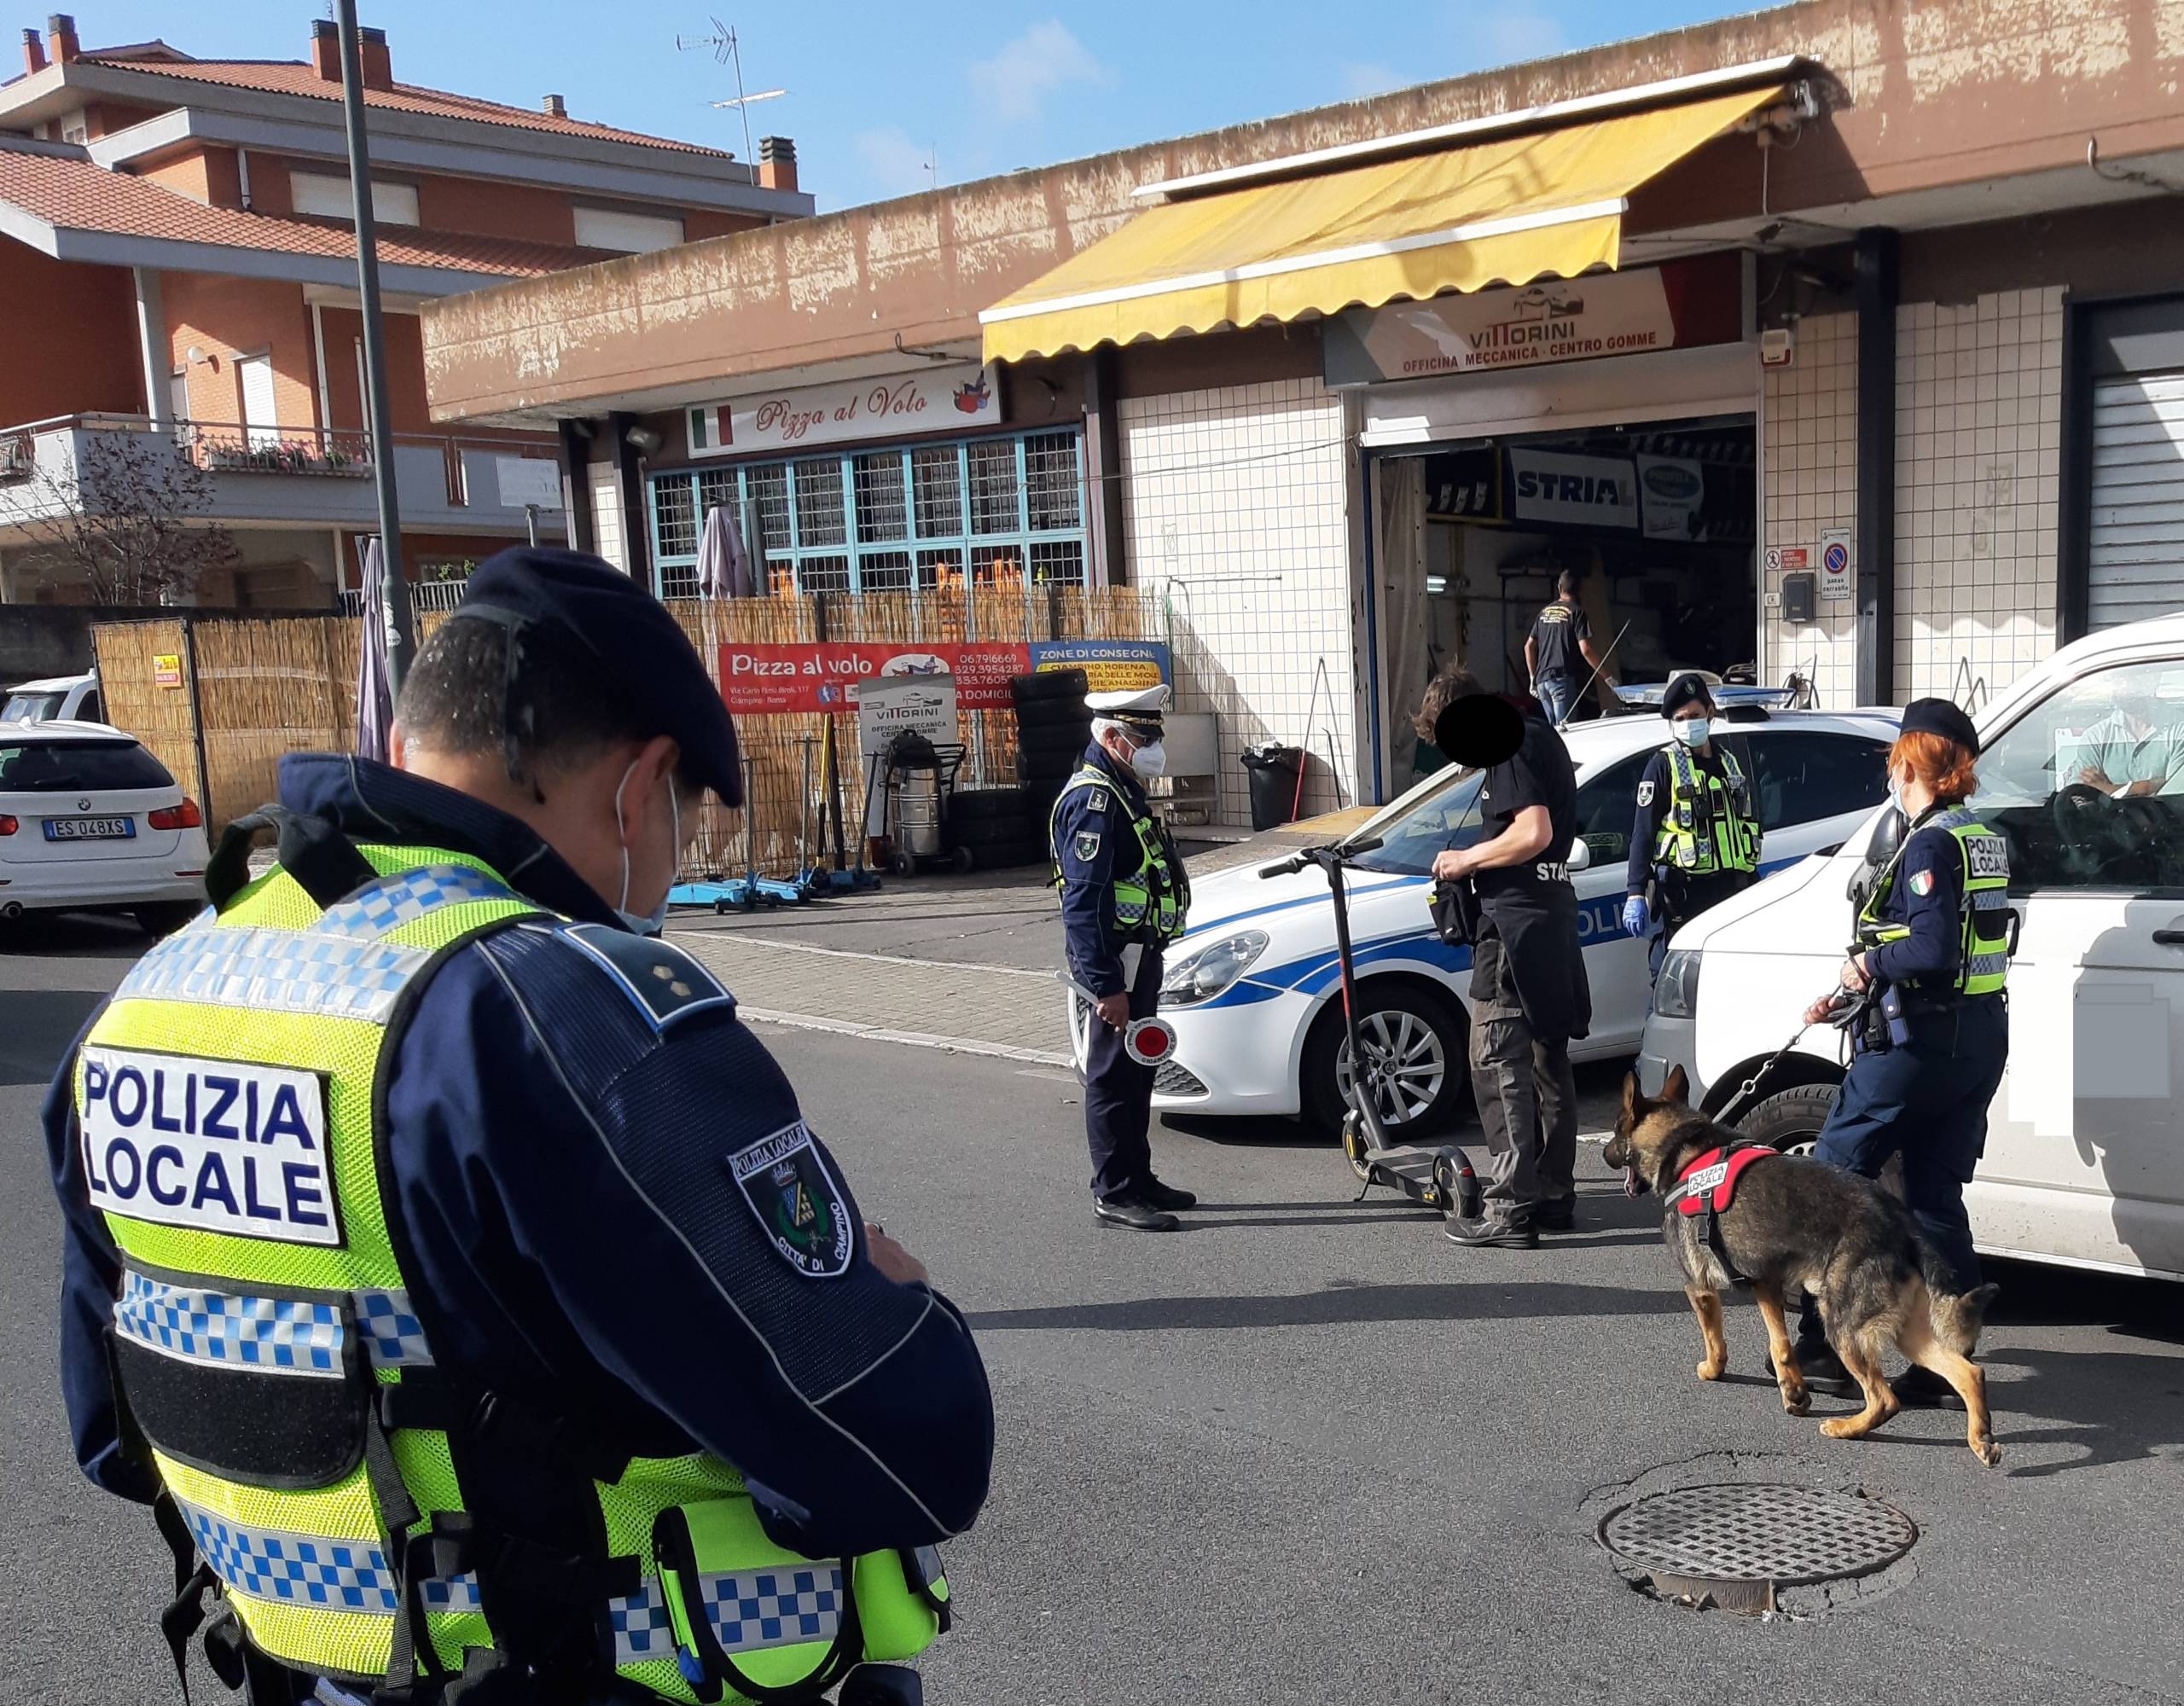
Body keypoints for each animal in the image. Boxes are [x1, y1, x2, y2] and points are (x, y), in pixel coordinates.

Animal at [1607, 1065, 2000, 1467]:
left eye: (1616, 1129)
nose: (1606, 1154)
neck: (1683, 1148)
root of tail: (1901, 1222)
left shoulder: (1699, 1287)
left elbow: (1715, 1339)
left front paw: (1714, 1370)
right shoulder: (1765, 1284)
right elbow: (1780, 1344)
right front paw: (1794, 1393)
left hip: (1844, 1326)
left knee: (1885, 1399)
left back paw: (1847, 1428)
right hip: (1907, 1331)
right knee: (1970, 1372)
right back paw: (1980, 1437)